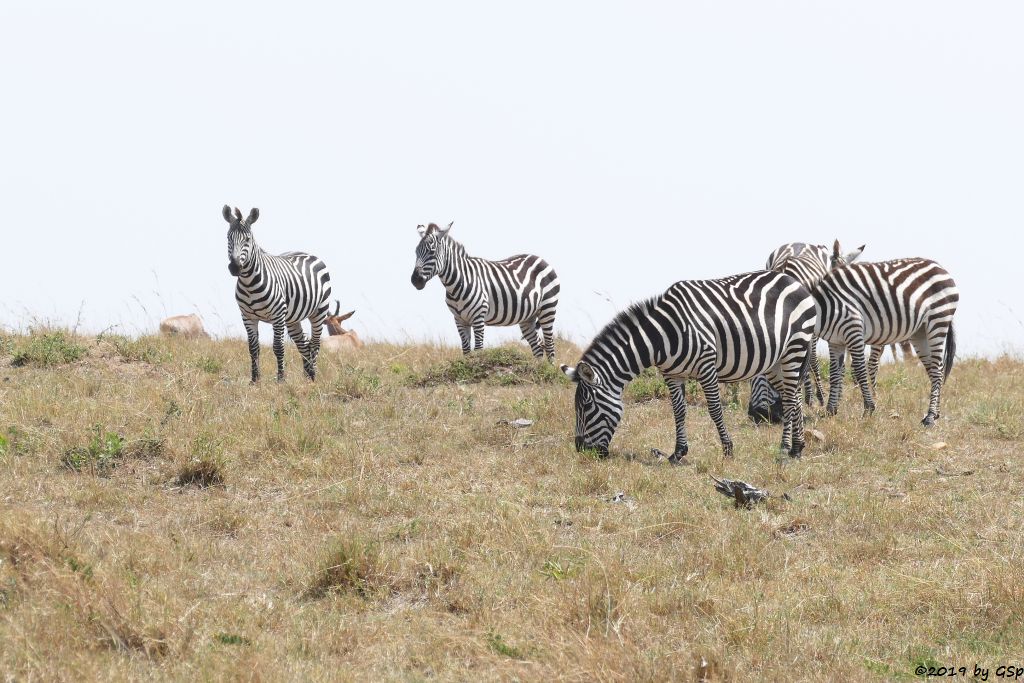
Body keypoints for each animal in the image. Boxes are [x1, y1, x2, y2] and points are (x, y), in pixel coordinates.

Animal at [223, 205, 331, 382]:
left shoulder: (278, 315)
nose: (235, 267)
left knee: (315, 343)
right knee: (304, 344)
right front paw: (255, 380)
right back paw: (306, 377)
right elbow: (253, 348)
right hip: (293, 319)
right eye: (228, 238)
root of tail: (307, 253)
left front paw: (281, 380)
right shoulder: (247, 317)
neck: (249, 283)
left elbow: (278, 347)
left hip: (319, 311)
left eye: (248, 240)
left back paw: (313, 377)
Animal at [409, 224, 561, 362]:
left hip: (548, 308)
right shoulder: (459, 319)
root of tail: (539, 258)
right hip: (527, 317)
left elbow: (478, 349)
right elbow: (466, 350)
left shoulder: (478, 317)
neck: (457, 283)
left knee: (550, 345)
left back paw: (549, 370)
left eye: (432, 252)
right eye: (416, 252)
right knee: (537, 347)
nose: (415, 280)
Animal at [561, 270, 815, 458]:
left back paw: (785, 448)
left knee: (790, 398)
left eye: (586, 406)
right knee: (795, 397)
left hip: (795, 347)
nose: (581, 450)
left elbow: (714, 409)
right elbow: (679, 411)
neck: (663, 336)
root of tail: (793, 280)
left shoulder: (706, 366)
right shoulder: (671, 374)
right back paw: (797, 448)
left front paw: (727, 450)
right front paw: (678, 452)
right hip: (775, 361)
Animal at [811, 237, 954, 423]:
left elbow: (860, 368)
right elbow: (835, 372)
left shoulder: (854, 331)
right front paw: (830, 410)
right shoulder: (836, 341)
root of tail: (939, 266)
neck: (827, 307)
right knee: (935, 368)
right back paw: (935, 413)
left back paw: (930, 417)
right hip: (920, 332)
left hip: (938, 320)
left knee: (937, 369)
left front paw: (869, 408)